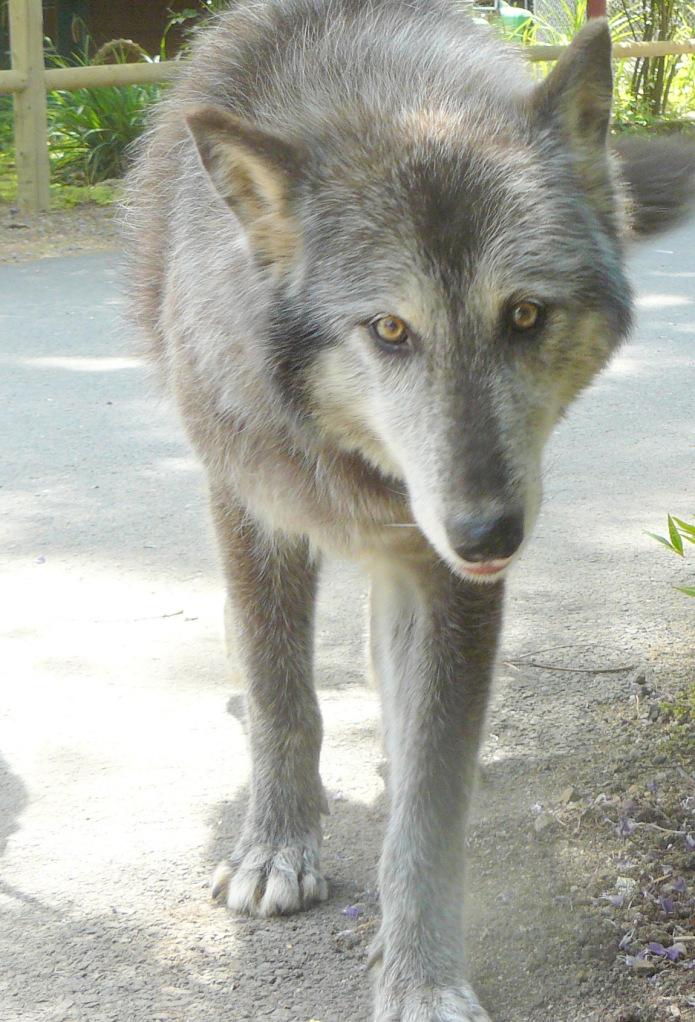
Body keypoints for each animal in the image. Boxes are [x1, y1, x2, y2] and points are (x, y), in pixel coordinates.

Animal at [124, 1, 695, 1018]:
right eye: (389, 330)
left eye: (523, 315)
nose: (489, 532)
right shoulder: (253, 509)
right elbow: (282, 697)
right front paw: (276, 847)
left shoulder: (441, 571)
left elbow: (433, 799)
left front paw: (420, 972)